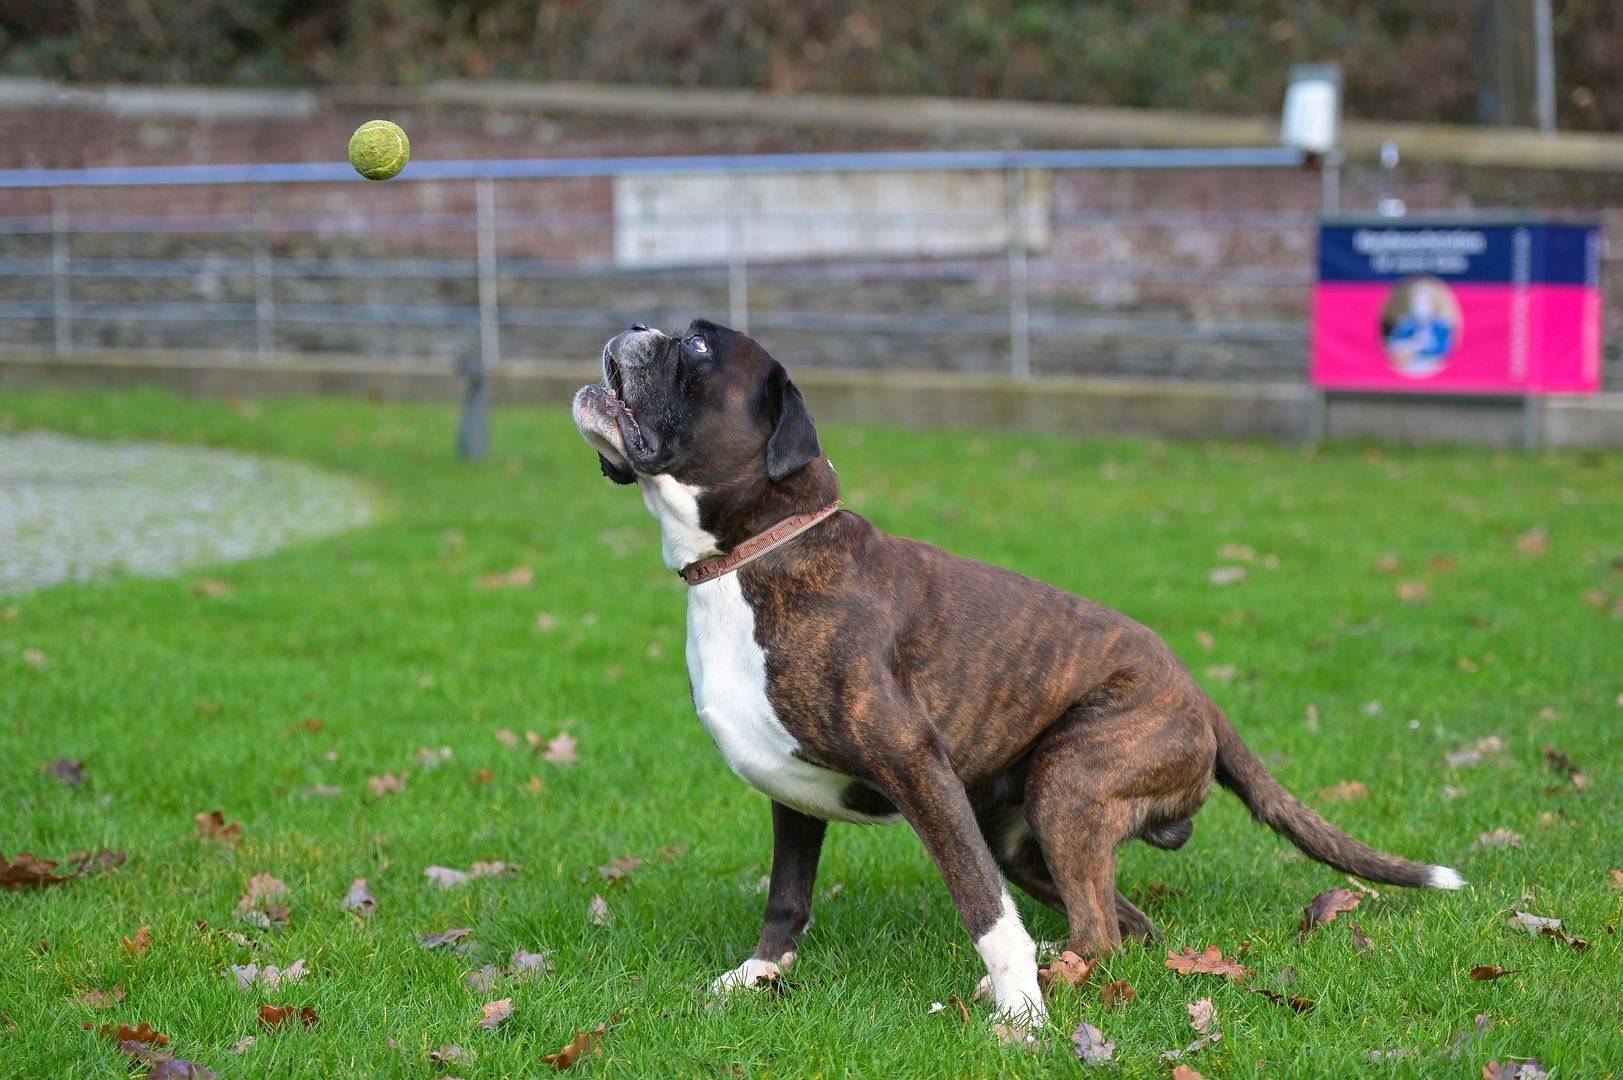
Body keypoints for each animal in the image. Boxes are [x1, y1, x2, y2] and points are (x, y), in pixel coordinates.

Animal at [574, 319, 1473, 1026]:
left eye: (696, 345)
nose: (637, 326)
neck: (757, 552)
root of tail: (1199, 696)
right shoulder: (791, 799)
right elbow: (786, 898)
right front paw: (758, 975)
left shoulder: (919, 772)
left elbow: (980, 904)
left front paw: (1020, 1011)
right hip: (1032, 832)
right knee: (1127, 927)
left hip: (1068, 787)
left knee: (1100, 930)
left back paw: (1046, 982)